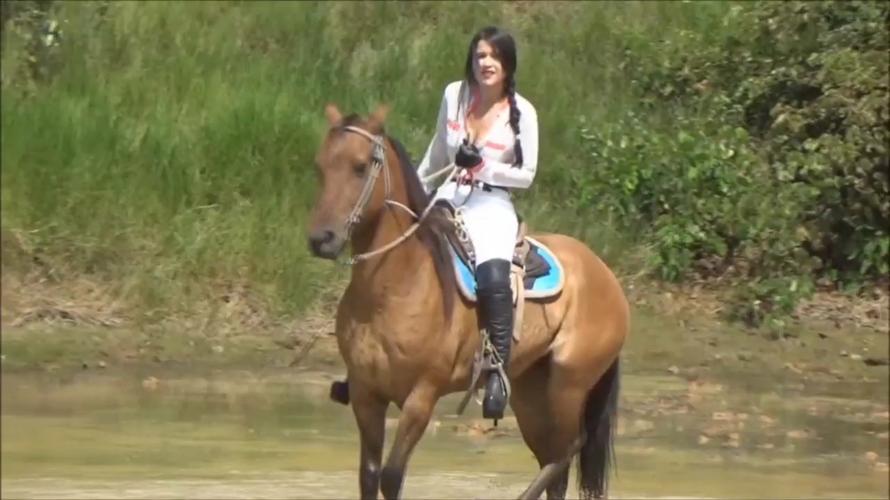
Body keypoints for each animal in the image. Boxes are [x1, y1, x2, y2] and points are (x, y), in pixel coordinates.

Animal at [307, 103, 629, 500]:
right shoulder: (367, 394)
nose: (321, 239)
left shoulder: (422, 397)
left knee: (566, 449)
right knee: (553, 461)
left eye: (360, 165)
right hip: (529, 392)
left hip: (569, 384)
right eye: (320, 166)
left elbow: (391, 475)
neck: (391, 289)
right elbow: (368, 475)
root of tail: (604, 272)